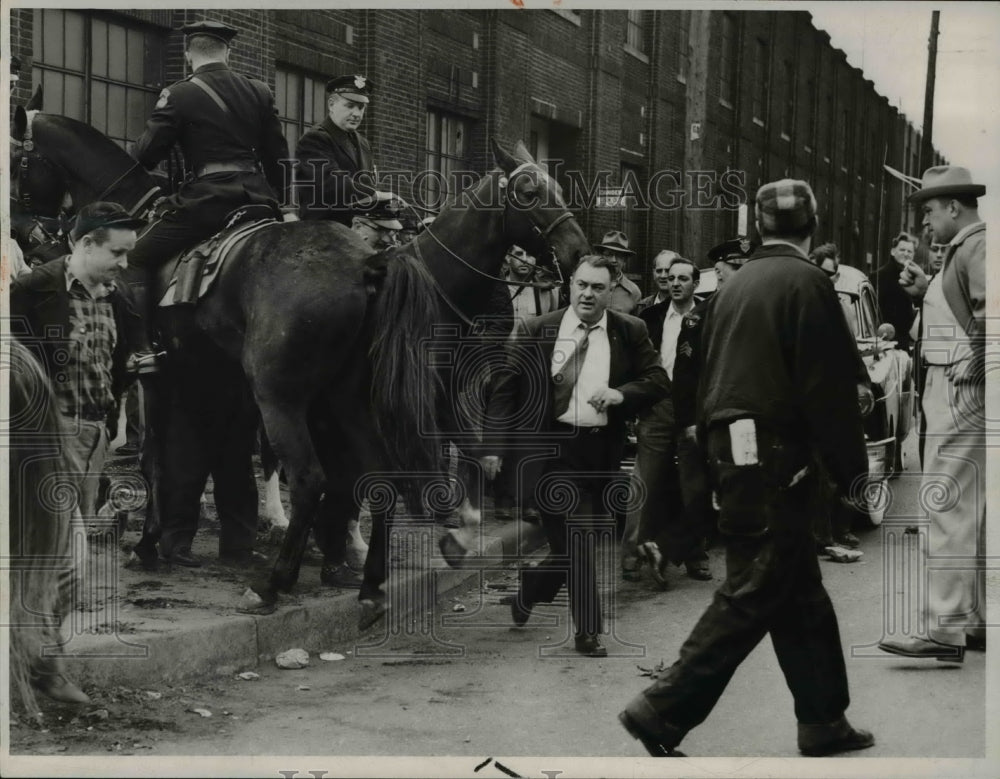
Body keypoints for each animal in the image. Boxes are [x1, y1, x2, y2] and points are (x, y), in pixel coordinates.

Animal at [9, 106, 584, 624]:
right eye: (531, 192)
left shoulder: (158, 376)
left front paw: (151, 543)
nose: (578, 251)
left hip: (281, 394)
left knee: (312, 476)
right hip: (338, 397)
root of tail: (367, 264)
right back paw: (363, 580)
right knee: (366, 475)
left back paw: (275, 582)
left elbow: (158, 460)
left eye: (16, 158)